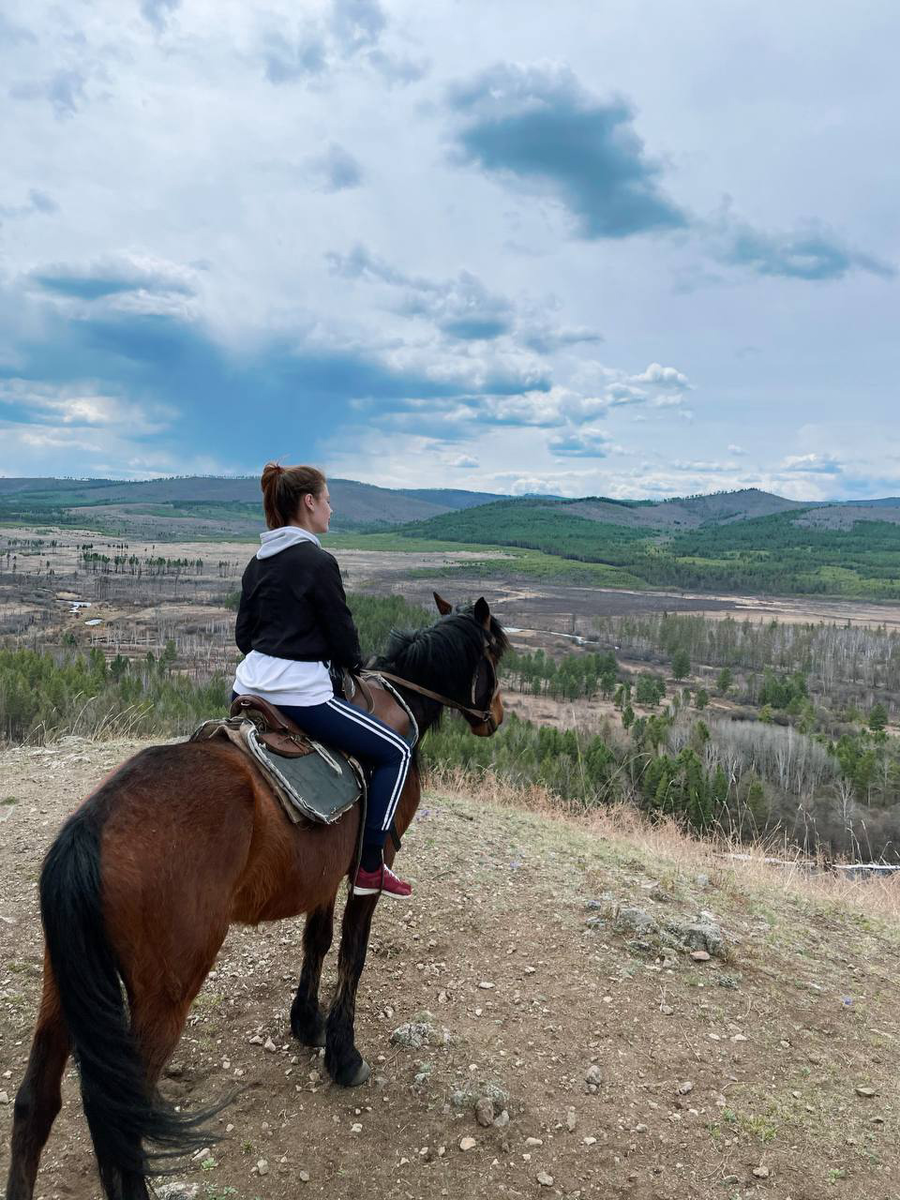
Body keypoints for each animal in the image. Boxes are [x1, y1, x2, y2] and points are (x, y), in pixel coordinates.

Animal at [5, 592, 508, 1200]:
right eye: (495, 652)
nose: (497, 717)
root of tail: (92, 826)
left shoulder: (323, 872)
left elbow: (317, 941)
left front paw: (306, 1022)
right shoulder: (372, 862)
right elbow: (352, 953)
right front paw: (343, 1055)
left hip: (62, 981)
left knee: (35, 1104)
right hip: (164, 991)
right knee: (121, 1123)